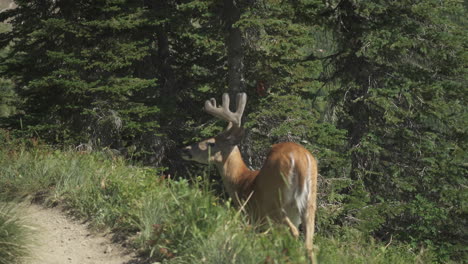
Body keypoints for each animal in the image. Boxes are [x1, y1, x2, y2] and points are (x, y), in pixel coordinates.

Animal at [180, 93, 318, 262]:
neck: (241, 181)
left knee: (294, 233)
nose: (185, 149)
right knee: (309, 245)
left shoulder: (251, 217)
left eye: (211, 143)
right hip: (310, 202)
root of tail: (301, 159)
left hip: (274, 203)